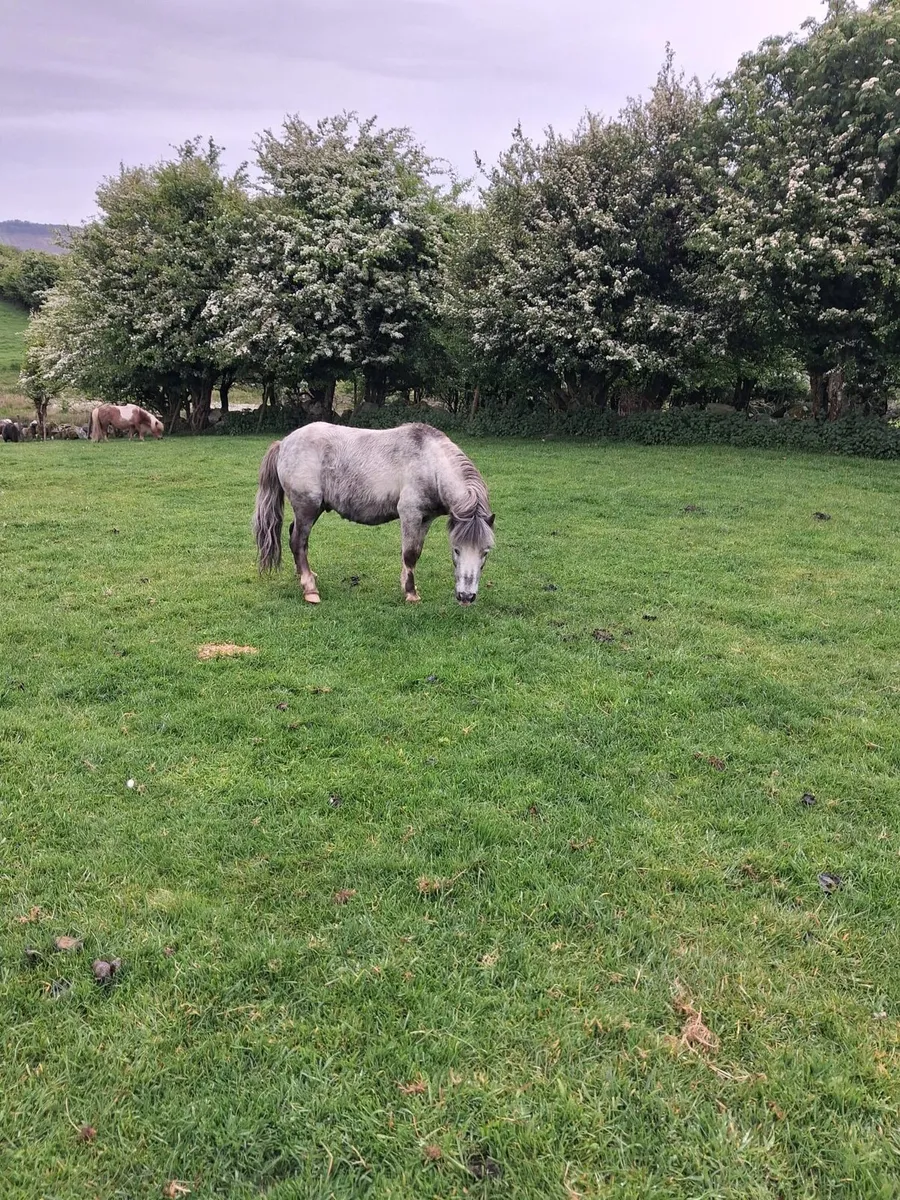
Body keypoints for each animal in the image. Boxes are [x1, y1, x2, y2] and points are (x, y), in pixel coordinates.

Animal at [253, 422, 495, 605]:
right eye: (456, 549)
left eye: (485, 552)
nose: (466, 597)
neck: (430, 462)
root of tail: (284, 443)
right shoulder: (410, 514)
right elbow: (410, 554)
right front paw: (411, 594)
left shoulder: (425, 519)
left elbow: (416, 552)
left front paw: (408, 586)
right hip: (307, 507)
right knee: (298, 542)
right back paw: (310, 589)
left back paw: (306, 576)